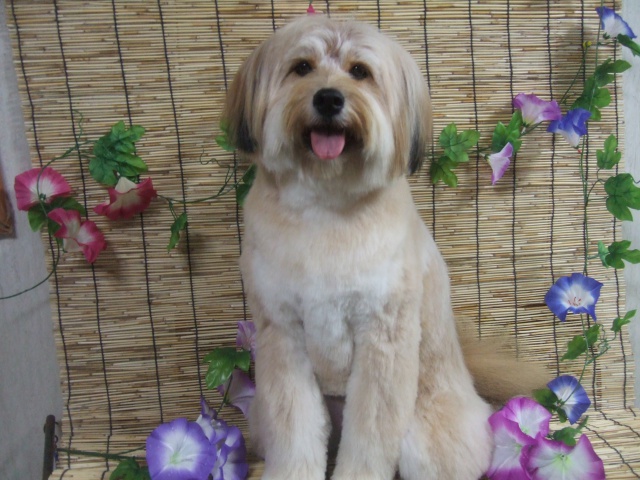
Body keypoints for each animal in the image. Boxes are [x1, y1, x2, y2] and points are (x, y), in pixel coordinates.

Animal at [224, 14, 544, 480]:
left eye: (360, 71)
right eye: (302, 67)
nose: (328, 98)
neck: (326, 207)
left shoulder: (384, 338)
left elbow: (370, 437)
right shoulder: (282, 334)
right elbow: (294, 429)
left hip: (424, 437)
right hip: (264, 416)